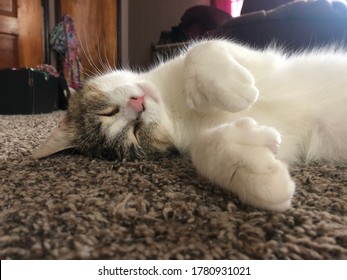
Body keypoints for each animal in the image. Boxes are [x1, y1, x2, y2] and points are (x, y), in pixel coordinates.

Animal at [31, 38, 347, 210]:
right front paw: (258, 174)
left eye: (108, 111)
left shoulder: (256, 58)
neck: (174, 104)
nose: (138, 107)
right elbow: (205, 150)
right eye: (135, 134)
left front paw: (234, 87)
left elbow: (201, 49)